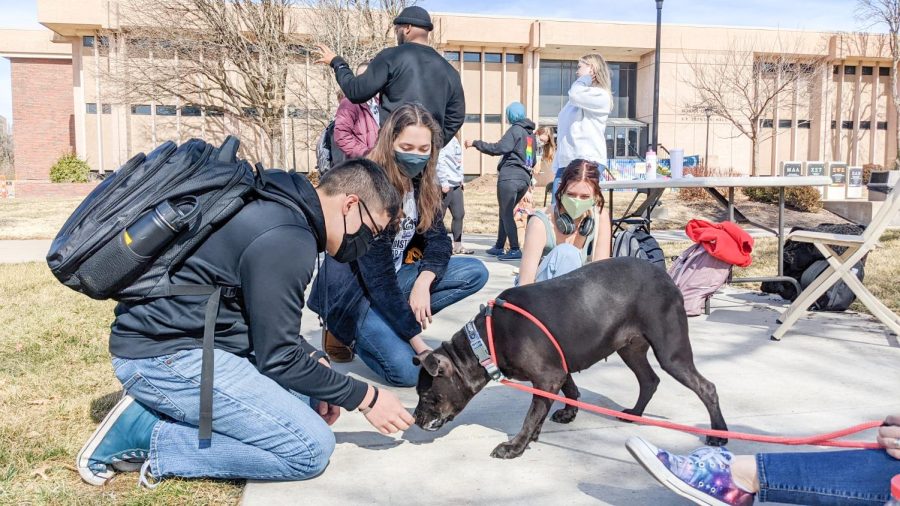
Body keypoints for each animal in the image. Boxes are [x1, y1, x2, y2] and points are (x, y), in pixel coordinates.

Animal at [412, 256, 728, 458]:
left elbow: (531, 414)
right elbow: (564, 393)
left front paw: (515, 446)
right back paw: (635, 413)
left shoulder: (547, 375)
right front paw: (558, 418)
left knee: (707, 387)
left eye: (428, 397)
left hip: (670, 352)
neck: (485, 340)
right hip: (629, 348)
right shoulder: (556, 371)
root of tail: (667, 277)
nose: (415, 418)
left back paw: (719, 433)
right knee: (649, 380)